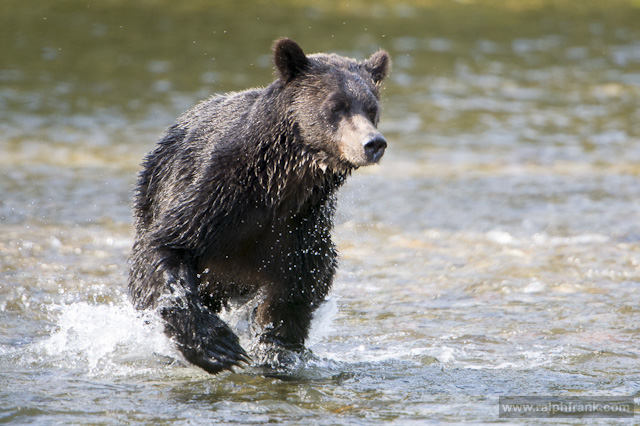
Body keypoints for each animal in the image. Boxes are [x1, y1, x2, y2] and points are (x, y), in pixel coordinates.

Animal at [128, 38, 390, 374]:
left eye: (372, 108)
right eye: (336, 105)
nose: (373, 143)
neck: (280, 183)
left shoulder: (301, 226)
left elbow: (297, 287)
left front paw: (275, 349)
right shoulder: (214, 198)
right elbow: (167, 249)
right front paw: (218, 348)